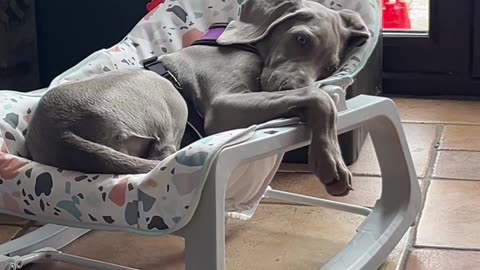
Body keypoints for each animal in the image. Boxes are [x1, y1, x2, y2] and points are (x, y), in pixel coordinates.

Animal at [25, 0, 372, 196]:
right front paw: (330, 162)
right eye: (300, 39)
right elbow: (319, 99)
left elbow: (315, 96)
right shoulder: (222, 107)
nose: (288, 88)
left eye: (330, 68)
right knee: (162, 154)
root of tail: (61, 133)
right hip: (166, 95)